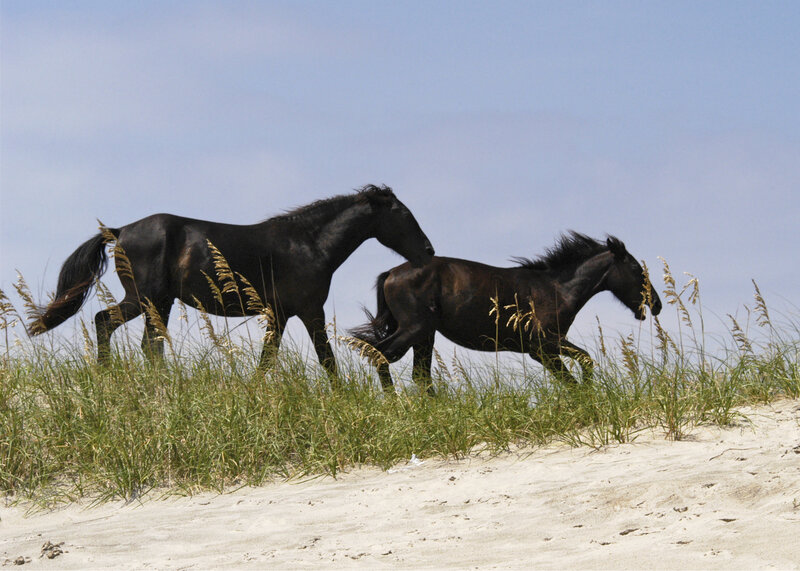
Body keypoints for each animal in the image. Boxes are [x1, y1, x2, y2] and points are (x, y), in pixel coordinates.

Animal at [28, 184, 435, 383]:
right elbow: (326, 360)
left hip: (155, 302)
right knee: (115, 328)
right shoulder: (308, 311)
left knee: (133, 336)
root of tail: (120, 230)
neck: (308, 244)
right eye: (403, 214)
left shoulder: (280, 315)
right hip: (147, 299)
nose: (428, 251)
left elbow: (267, 360)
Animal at [351, 232, 662, 394]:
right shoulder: (543, 345)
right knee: (379, 355)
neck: (556, 288)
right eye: (637, 269)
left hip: (425, 335)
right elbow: (581, 365)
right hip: (413, 329)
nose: (656, 304)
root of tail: (391, 273)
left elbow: (578, 369)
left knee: (418, 374)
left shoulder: (545, 348)